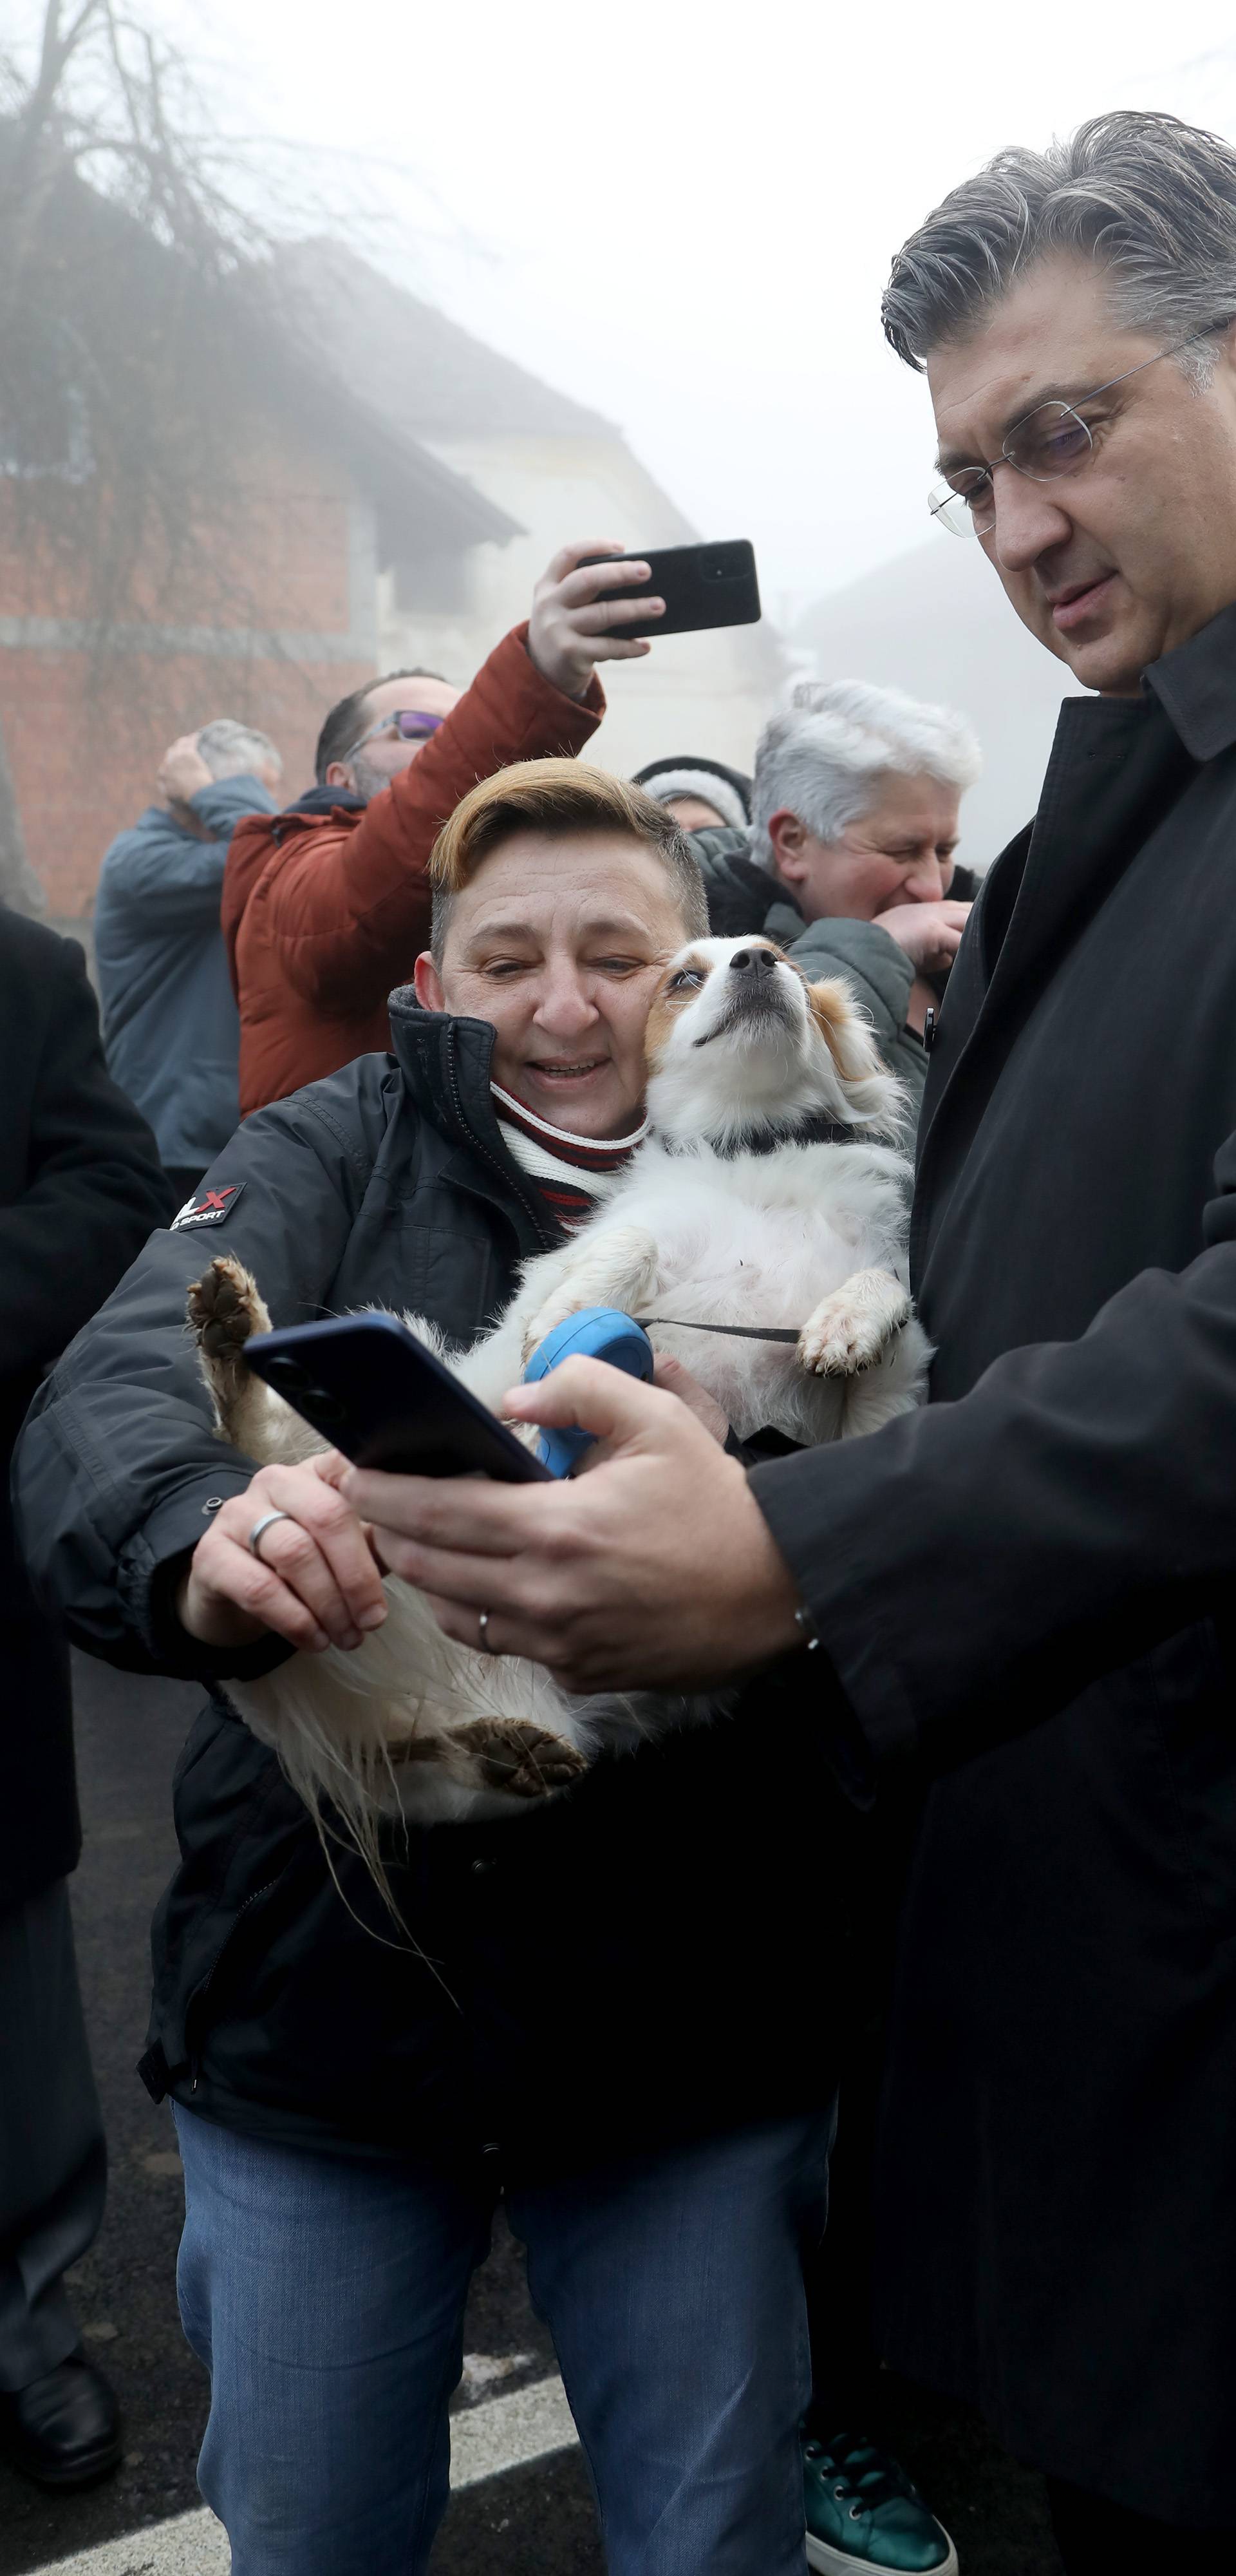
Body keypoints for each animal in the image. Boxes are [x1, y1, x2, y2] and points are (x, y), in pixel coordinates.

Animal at [188, 948, 927, 1875]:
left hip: (482, 1755)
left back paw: (496, 1746)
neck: (753, 1145)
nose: (759, 958)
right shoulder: (607, 1250)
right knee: (269, 1449)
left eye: (788, 962)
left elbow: (890, 1300)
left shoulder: (874, 1411)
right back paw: (232, 1338)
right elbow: (620, 1250)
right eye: (685, 978)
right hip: (385, 1360)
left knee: (415, 1755)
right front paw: (574, 1307)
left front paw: (846, 1321)